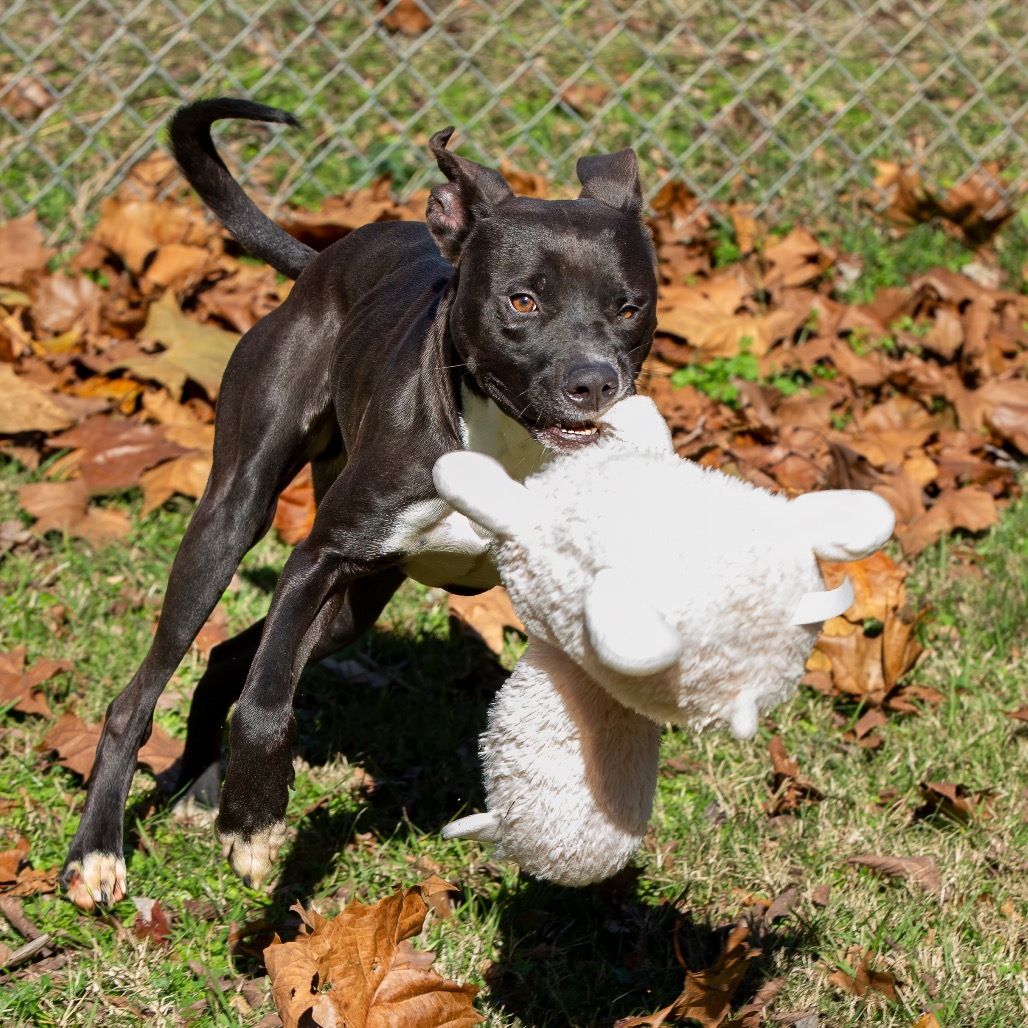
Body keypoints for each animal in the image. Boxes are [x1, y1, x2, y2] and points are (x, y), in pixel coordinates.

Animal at [62, 100, 657, 908]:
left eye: (629, 309)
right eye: (522, 300)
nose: (594, 382)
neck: (505, 449)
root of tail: (318, 264)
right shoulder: (320, 558)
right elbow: (266, 703)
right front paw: (253, 823)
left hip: (353, 608)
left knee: (228, 655)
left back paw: (199, 787)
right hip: (234, 518)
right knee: (152, 688)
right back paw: (101, 850)